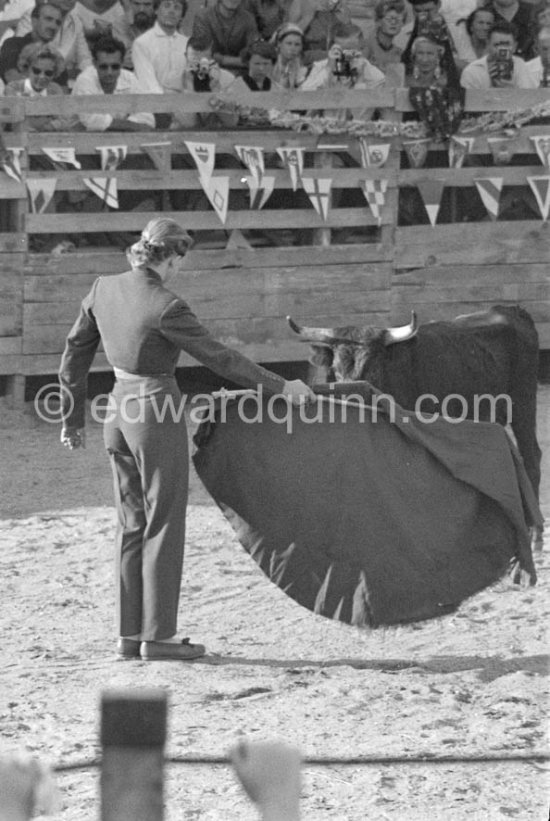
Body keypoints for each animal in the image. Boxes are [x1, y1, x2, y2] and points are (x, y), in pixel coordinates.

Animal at [292, 304, 544, 540]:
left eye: (374, 368)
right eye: (336, 370)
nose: (351, 397)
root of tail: (510, 310)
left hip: (523, 404)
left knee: (532, 455)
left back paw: (534, 532)